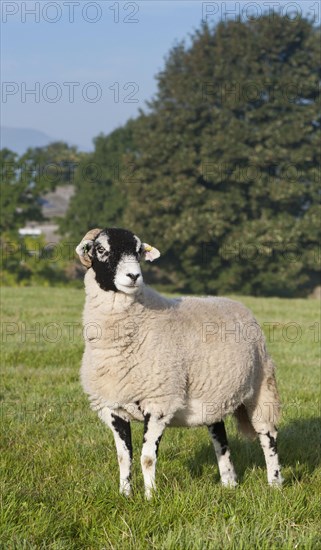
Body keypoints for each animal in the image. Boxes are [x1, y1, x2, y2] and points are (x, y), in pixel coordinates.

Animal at [76, 227, 282, 500]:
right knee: (221, 438)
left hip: (261, 386)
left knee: (267, 435)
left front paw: (150, 498)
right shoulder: (113, 406)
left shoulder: (159, 402)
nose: (134, 276)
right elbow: (123, 457)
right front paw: (125, 495)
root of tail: (236, 303)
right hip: (214, 395)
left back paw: (275, 483)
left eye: (138, 251)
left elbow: (147, 458)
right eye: (101, 249)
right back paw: (229, 482)